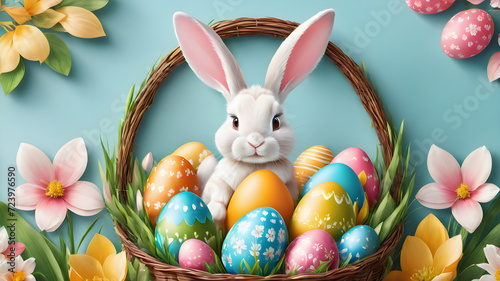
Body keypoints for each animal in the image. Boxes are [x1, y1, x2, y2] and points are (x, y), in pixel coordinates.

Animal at [173, 8, 336, 225]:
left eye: (276, 121)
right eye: (235, 121)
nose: (255, 142)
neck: (254, 167)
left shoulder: (290, 184)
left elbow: (292, 197)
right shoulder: (218, 180)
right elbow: (217, 191)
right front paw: (215, 211)